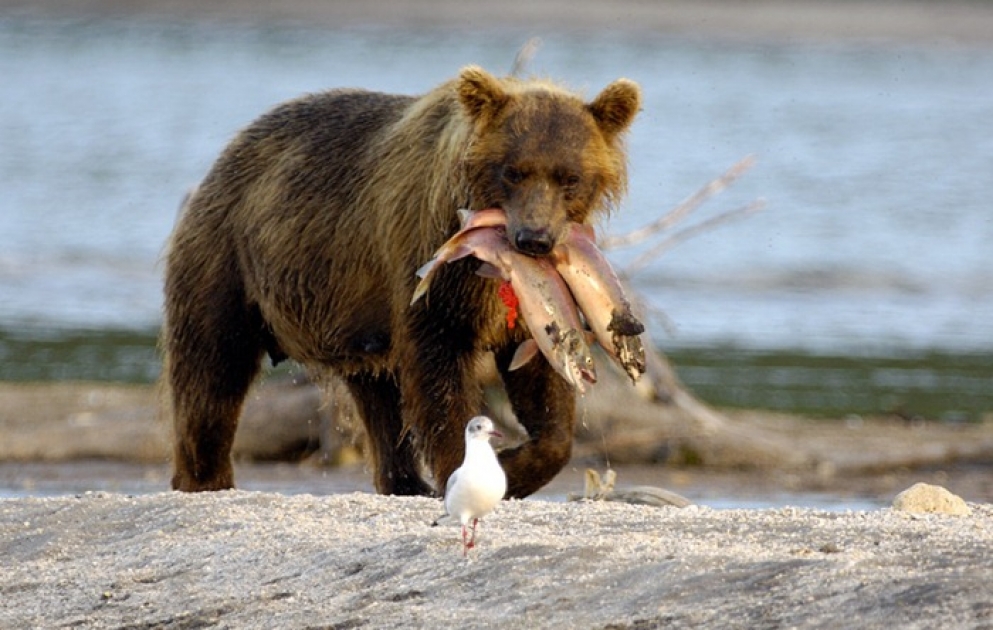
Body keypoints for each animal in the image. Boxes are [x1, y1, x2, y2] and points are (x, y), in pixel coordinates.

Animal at [163, 65, 640, 498]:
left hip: (354, 318)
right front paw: (468, 469)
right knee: (212, 372)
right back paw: (205, 478)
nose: (534, 239)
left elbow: (542, 389)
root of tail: (228, 153)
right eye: (513, 171)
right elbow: (438, 370)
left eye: (569, 177)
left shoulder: (532, 303)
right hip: (228, 261)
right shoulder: (431, 258)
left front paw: (516, 464)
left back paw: (405, 482)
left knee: (379, 400)